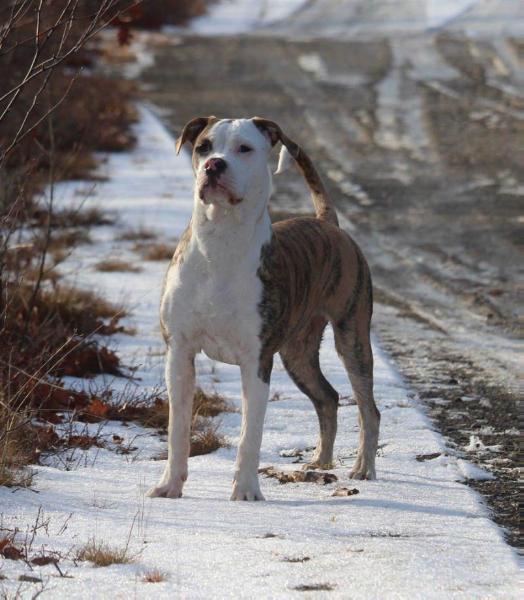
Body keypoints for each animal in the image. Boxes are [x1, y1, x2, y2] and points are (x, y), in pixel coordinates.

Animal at [147, 117, 380, 502]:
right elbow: (177, 428)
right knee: (328, 398)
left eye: (245, 148)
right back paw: (320, 462)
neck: (221, 241)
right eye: (204, 147)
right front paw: (169, 486)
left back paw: (363, 468)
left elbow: (249, 435)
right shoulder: (179, 353)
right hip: (297, 352)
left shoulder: (256, 361)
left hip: (352, 335)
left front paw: (245, 493)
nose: (214, 166)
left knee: (367, 407)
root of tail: (328, 223)